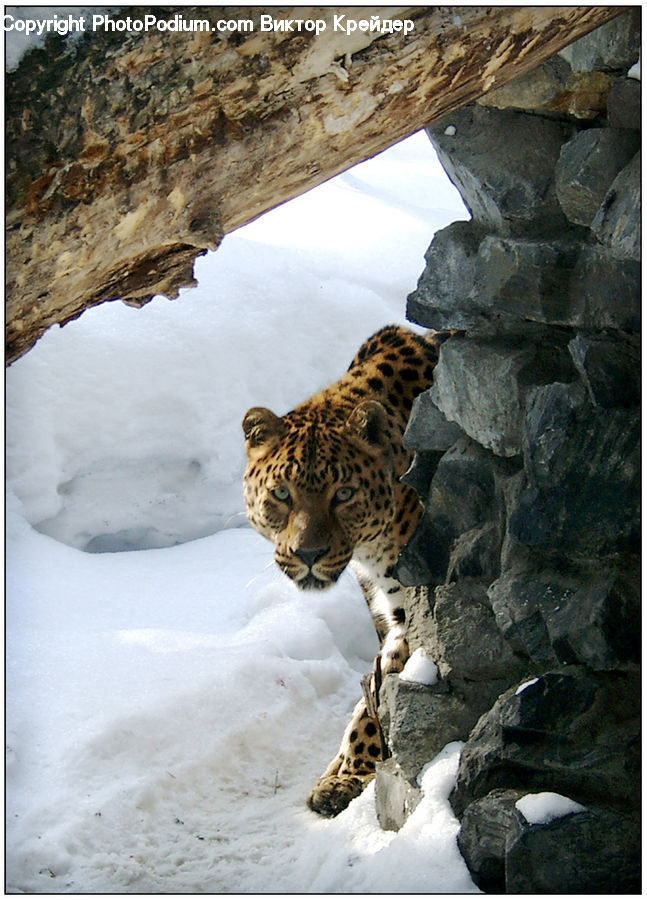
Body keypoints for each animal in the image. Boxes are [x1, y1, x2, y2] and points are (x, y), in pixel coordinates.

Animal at [242, 324, 445, 817]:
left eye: (344, 493)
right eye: (281, 493)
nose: (308, 553)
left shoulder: (414, 612)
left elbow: (383, 693)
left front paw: (350, 774)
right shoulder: (389, 612)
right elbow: (374, 690)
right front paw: (341, 767)